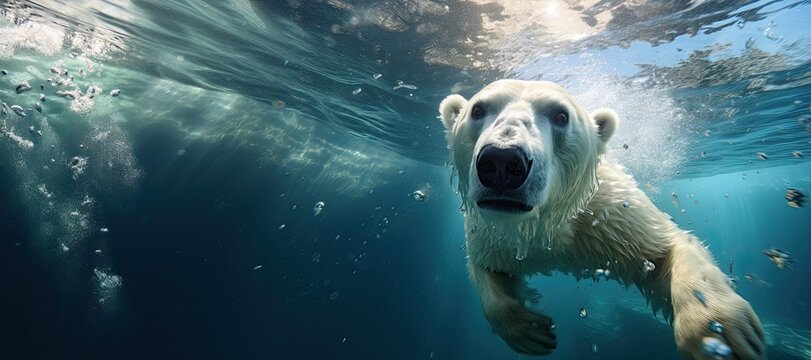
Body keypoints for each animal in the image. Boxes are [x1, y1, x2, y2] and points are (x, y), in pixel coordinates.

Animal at [440, 80, 764, 358]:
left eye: (561, 115)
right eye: (478, 109)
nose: (502, 161)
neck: (547, 228)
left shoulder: (609, 213)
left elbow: (666, 249)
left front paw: (717, 333)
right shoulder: (493, 230)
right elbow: (487, 269)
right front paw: (531, 331)